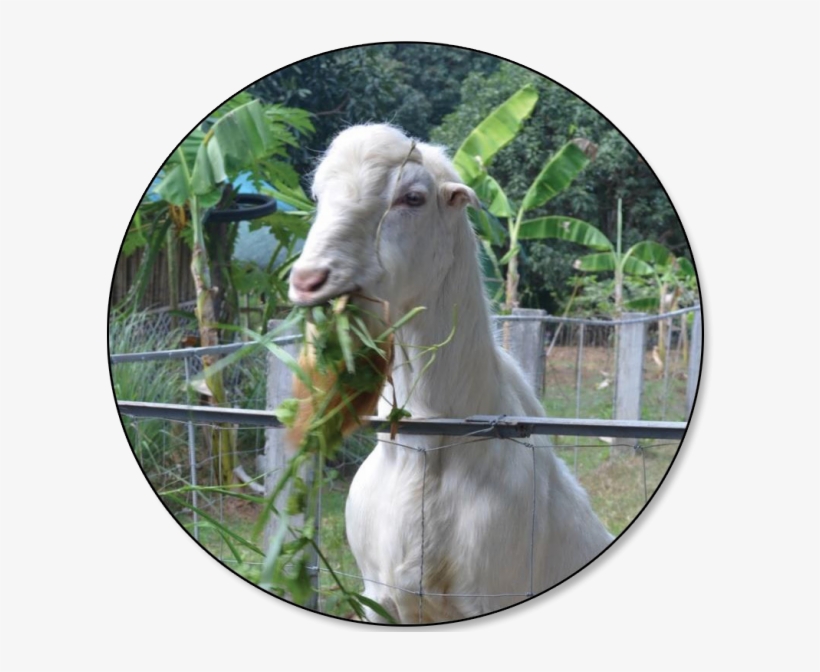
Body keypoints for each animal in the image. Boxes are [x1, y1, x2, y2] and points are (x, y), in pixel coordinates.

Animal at [288, 124, 613, 623]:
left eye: (412, 197)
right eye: (319, 196)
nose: (308, 281)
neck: (432, 446)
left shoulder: (491, 594)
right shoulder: (377, 597)